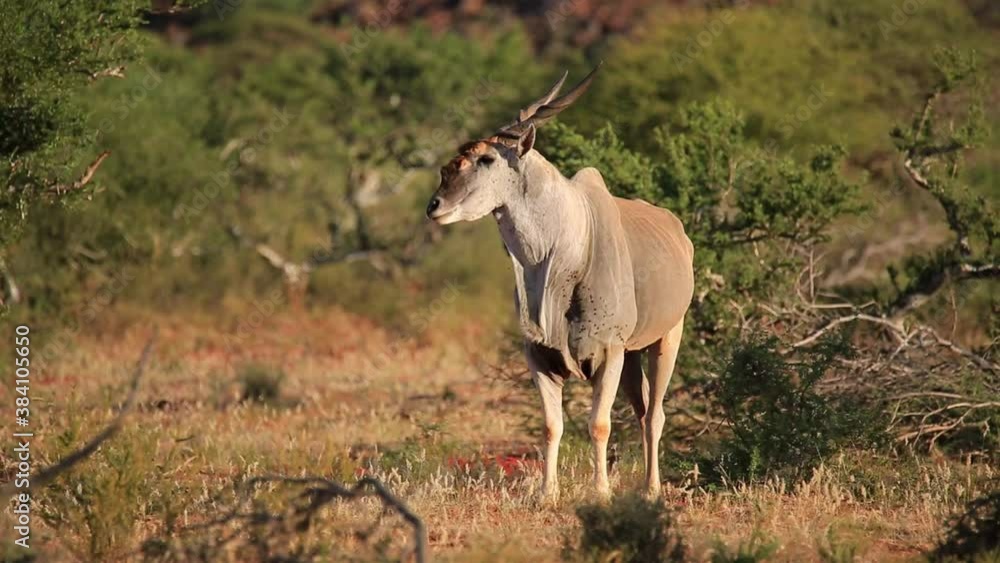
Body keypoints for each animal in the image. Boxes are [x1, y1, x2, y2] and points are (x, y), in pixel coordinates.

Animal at [424, 64, 696, 500]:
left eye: (485, 158)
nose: (435, 206)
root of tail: (679, 232)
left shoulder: (609, 352)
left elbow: (599, 424)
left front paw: (600, 492)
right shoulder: (540, 357)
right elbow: (552, 426)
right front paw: (546, 492)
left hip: (666, 337)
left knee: (655, 415)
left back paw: (651, 489)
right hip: (633, 355)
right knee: (641, 412)